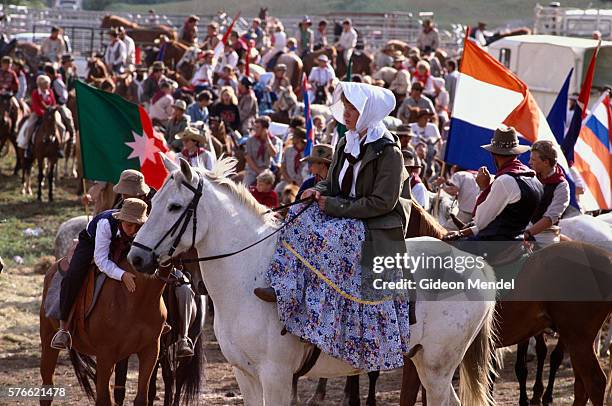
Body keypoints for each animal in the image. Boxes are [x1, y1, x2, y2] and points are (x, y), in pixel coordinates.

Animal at [38, 256, 170, 406]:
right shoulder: (105, 354)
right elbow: (104, 399)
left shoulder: (150, 350)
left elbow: (141, 398)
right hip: (48, 341)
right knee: (47, 387)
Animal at [128, 156, 498, 406]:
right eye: (153, 200)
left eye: (175, 206)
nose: (136, 257)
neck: (247, 276)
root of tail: (476, 266)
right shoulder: (245, 375)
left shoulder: (276, 377)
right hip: (425, 362)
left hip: (437, 367)